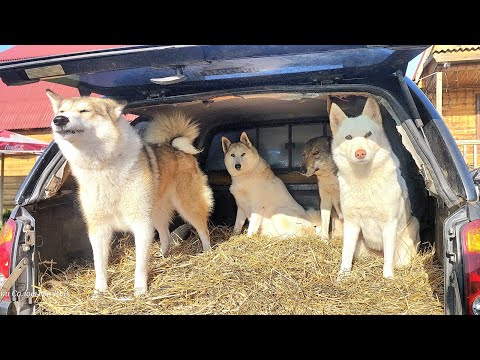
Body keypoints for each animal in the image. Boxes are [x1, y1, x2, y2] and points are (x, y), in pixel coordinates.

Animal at [46, 90, 212, 296]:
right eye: (61, 111)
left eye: (84, 111)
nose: (59, 120)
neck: (102, 168)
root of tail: (175, 146)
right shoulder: (98, 228)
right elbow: (100, 264)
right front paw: (100, 291)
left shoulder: (141, 224)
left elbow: (140, 265)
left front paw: (140, 290)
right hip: (156, 213)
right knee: (165, 234)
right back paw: (163, 256)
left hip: (187, 205)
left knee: (202, 229)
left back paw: (208, 252)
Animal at [330, 96, 420, 278]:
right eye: (348, 137)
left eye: (368, 135)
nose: (360, 153)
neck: (364, 178)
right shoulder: (351, 223)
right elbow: (346, 254)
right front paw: (342, 276)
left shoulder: (389, 224)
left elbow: (388, 259)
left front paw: (388, 278)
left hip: (413, 225)